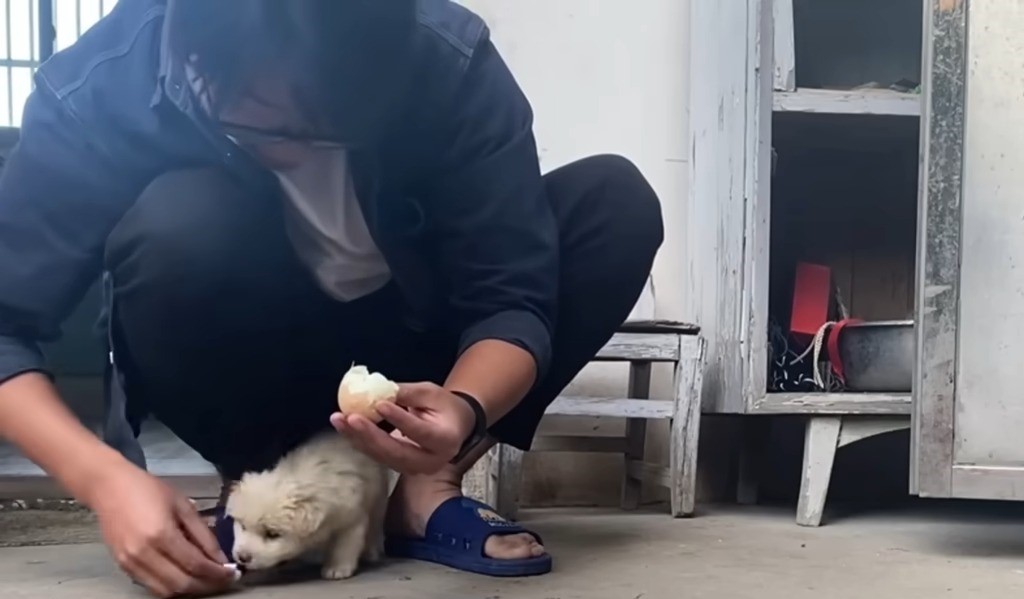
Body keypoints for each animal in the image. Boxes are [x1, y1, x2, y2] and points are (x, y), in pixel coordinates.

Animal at [226, 430, 389, 577]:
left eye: (272, 534)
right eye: (243, 526)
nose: (242, 557)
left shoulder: (351, 518)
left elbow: (344, 545)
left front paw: (337, 568)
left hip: (378, 498)